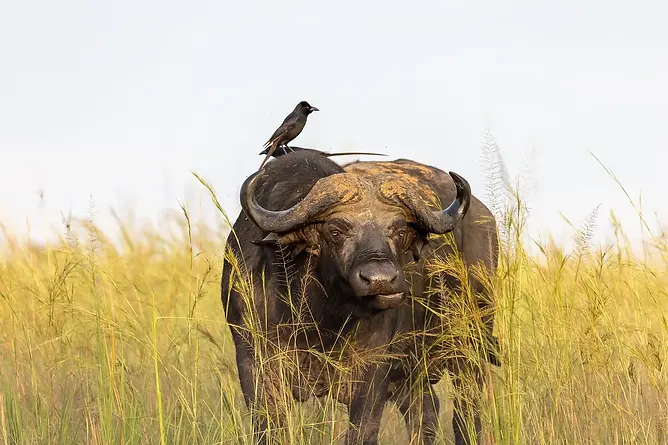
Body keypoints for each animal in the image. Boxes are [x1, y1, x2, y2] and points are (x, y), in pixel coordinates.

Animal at [221, 149, 500, 445]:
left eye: (400, 230)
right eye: (335, 230)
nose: (380, 280)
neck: (318, 317)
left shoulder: (373, 370)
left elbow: (363, 430)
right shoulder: (253, 360)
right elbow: (269, 428)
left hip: (470, 346)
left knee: (467, 411)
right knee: (426, 412)